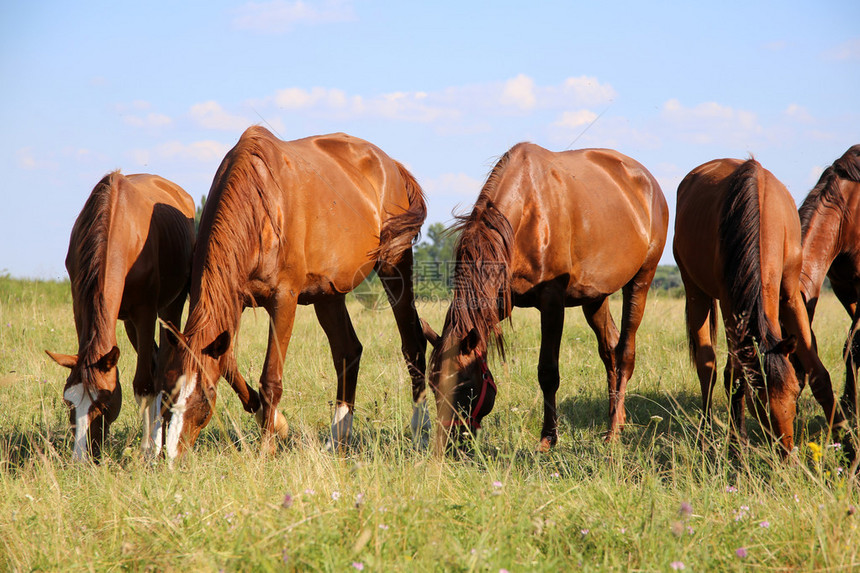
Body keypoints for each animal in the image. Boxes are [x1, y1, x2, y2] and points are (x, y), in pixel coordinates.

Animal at [47, 171, 197, 460]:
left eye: (104, 404)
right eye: (68, 402)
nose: (81, 458)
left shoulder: (145, 312)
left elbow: (145, 384)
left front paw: (148, 450)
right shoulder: (81, 305)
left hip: (169, 310)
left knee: (161, 369)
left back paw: (157, 441)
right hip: (127, 322)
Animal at [160, 127, 428, 458]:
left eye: (204, 397)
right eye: (166, 393)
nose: (171, 456)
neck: (260, 204)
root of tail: (390, 165)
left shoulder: (283, 300)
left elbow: (270, 378)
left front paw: (267, 448)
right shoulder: (234, 301)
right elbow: (228, 361)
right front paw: (273, 420)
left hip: (394, 266)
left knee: (413, 345)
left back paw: (420, 431)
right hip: (329, 295)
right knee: (348, 351)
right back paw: (337, 438)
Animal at [420, 141, 668, 450]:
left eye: (465, 386)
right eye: (432, 384)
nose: (448, 445)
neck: (527, 215)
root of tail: (650, 184)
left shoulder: (552, 304)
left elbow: (548, 372)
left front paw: (548, 438)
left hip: (641, 280)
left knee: (624, 353)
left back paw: (613, 432)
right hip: (596, 297)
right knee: (609, 349)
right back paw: (617, 418)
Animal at [672, 158, 840, 456]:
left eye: (795, 391)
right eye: (759, 402)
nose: (786, 454)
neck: (761, 217)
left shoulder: (790, 296)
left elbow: (819, 373)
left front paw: (846, 436)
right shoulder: (731, 307)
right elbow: (732, 377)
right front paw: (736, 446)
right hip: (694, 290)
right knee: (708, 367)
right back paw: (705, 436)